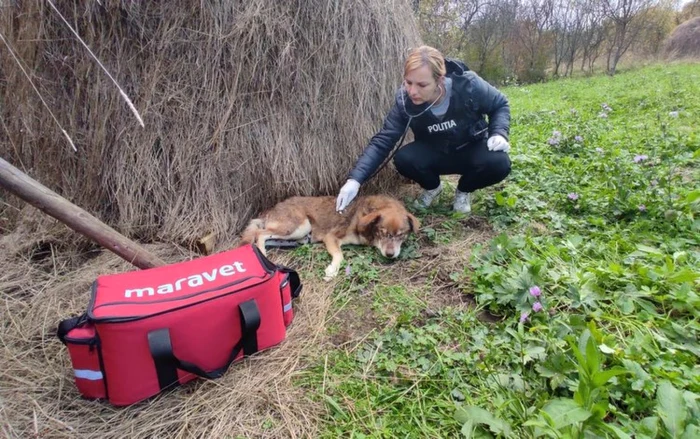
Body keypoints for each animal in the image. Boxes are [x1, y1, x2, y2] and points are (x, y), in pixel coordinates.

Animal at [241, 196, 418, 282]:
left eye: (401, 235)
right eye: (382, 232)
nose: (390, 255)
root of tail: (271, 209)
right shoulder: (331, 237)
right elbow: (340, 255)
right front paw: (332, 271)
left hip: (298, 236)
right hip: (300, 226)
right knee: (260, 234)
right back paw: (262, 254)